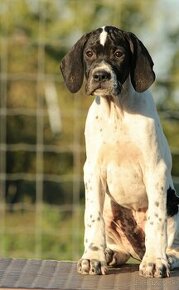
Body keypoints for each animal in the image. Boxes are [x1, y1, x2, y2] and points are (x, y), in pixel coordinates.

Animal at [60, 26, 179, 278]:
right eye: (89, 53)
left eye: (118, 54)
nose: (100, 76)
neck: (117, 111)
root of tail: (137, 250)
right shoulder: (93, 171)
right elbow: (91, 217)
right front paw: (92, 257)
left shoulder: (155, 169)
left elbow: (157, 221)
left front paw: (155, 261)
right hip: (109, 205)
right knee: (120, 247)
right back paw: (109, 253)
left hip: (174, 205)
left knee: (171, 241)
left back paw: (166, 257)